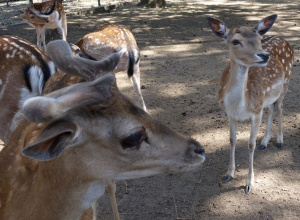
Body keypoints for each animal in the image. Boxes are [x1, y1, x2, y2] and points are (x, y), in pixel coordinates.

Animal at [207, 14, 294, 193]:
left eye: (259, 39)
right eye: (235, 41)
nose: (264, 55)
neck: (239, 106)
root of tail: (285, 40)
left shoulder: (256, 112)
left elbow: (250, 144)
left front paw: (249, 184)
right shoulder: (230, 114)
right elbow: (232, 140)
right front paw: (229, 174)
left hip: (285, 83)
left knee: (280, 107)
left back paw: (279, 141)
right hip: (267, 96)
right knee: (271, 108)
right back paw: (265, 142)